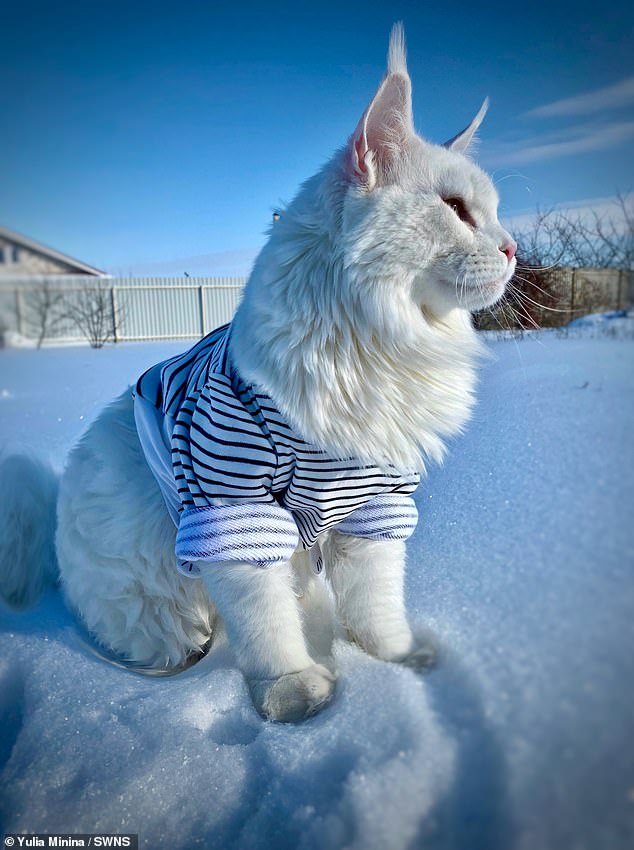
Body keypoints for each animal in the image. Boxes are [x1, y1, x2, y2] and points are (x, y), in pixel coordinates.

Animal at [0, 24, 512, 724]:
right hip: (165, 605)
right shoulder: (232, 509)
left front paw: (399, 663)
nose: (513, 248)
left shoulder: (375, 507)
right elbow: (265, 625)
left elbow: (377, 610)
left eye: (494, 214)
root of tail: (52, 543)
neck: (373, 348)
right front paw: (293, 693)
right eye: (456, 209)